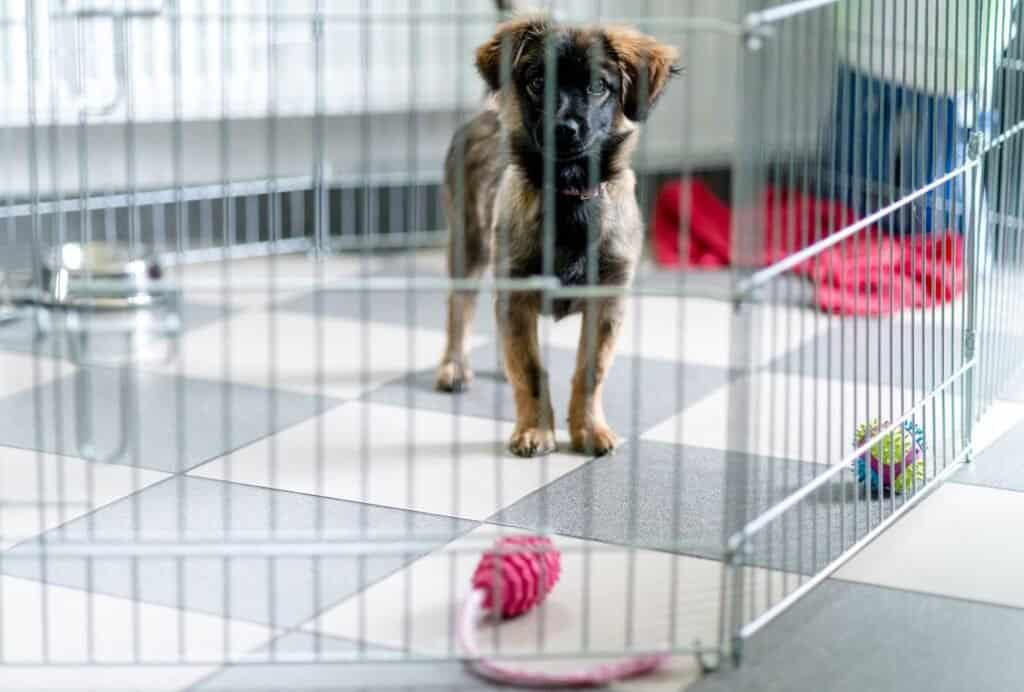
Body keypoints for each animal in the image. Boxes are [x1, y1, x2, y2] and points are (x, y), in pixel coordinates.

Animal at [434, 13, 679, 456]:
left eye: (598, 86)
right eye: (536, 82)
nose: (563, 129)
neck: (569, 193)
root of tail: (488, 107)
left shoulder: (607, 301)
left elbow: (591, 370)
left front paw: (590, 430)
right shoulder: (516, 291)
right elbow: (531, 370)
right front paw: (535, 431)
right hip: (468, 241)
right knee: (459, 305)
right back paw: (454, 367)